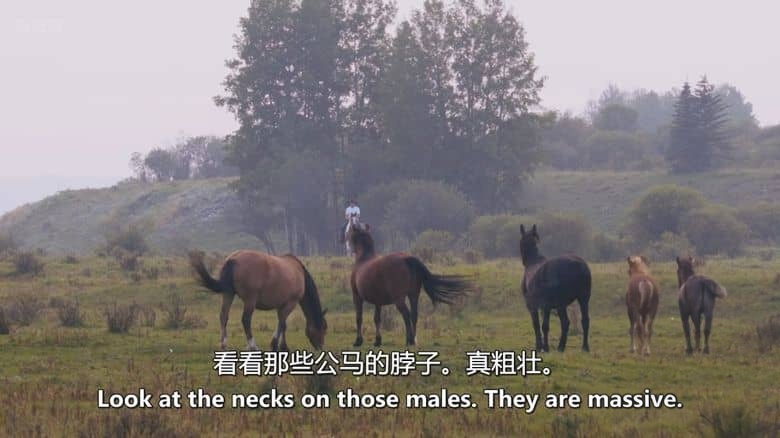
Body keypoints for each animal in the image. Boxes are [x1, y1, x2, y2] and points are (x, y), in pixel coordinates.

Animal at [190, 250, 327, 351]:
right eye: (323, 328)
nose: (320, 347)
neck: (298, 272)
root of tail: (232, 259)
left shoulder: (281, 306)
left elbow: (282, 324)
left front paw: (280, 345)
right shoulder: (290, 303)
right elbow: (283, 324)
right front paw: (278, 345)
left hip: (228, 294)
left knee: (224, 316)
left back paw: (224, 345)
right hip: (250, 300)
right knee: (245, 319)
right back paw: (252, 346)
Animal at [519, 224, 591, 352]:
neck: (533, 262)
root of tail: (577, 265)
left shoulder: (534, 305)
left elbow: (538, 325)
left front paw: (541, 347)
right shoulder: (548, 306)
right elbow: (544, 325)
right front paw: (544, 346)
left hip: (558, 303)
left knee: (559, 323)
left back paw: (557, 347)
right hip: (583, 298)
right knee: (583, 321)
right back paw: (582, 347)